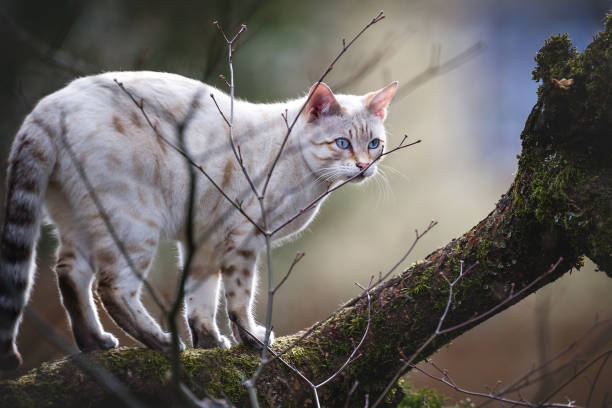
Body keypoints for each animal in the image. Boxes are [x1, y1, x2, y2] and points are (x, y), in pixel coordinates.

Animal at [0, 71, 396, 368]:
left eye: (374, 144)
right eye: (342, 143)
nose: (364, 166)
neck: (311, 181)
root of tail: (50, 104)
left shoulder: (203, 239)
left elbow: (200, 298)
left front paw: (209, 342)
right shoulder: (244, 238)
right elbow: (238, 299)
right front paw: (252, 340)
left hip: (77, 220)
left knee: (69, 274)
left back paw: (95, 342)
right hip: (134, 224)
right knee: (111, 287)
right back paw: (162, 342)